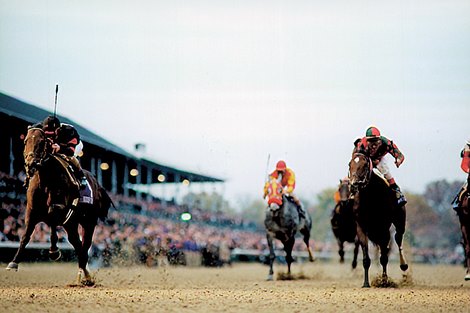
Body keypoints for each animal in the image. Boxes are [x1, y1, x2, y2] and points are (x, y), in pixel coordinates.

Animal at [5, 127, 114, 286]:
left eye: (41, 142)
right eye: (25, 141)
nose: (31, 163)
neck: (45, 180)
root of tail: (97, 184)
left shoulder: (60, 208)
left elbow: (52, 222)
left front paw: (54, 251)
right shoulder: (31, 211)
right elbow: (26, 236)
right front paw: (13, 263)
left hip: (88, 221)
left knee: (85, 245)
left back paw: (85, 276)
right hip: (71, 224)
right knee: (77, 243)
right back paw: (84, 274)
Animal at [348, 152, 408, 286]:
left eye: (365, 165)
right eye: (350, 164)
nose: (354, 184)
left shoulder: (384, 228)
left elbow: (384, 258)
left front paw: (384, 281)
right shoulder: (361, 227)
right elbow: (366, 258)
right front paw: (366, 283)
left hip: (399, 221)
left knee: (398, 238)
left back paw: (404, 265)